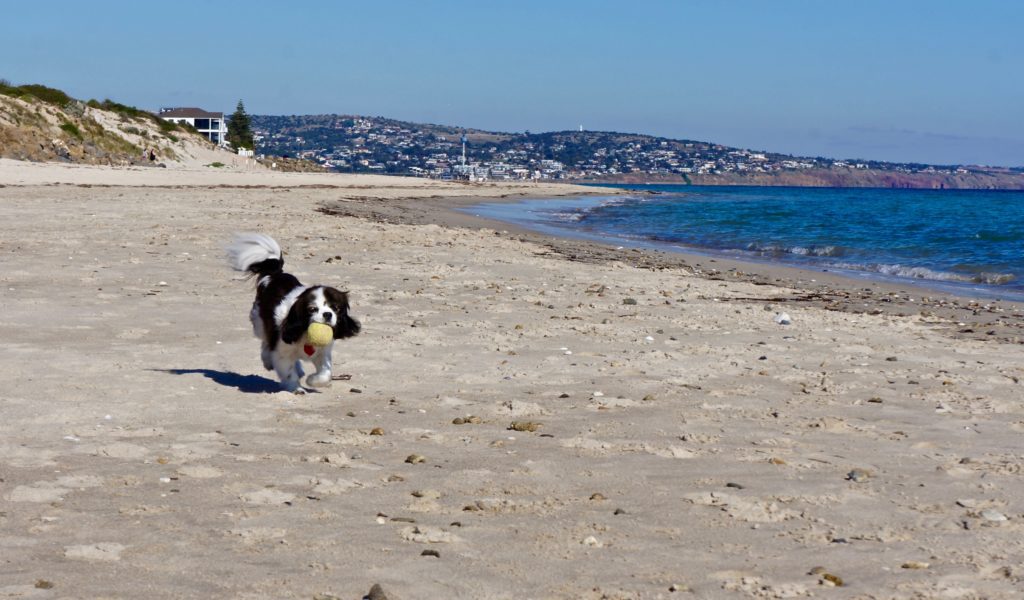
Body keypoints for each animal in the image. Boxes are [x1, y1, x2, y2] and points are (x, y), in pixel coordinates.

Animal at [227, 233, 360, 393]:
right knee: (265, 341)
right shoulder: (281, 352)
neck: (304, 332)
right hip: (259, 323)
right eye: (312, 309)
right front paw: (296, 389)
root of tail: (274, 275)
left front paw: (312, 380)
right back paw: (268, 361)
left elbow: (325, 373)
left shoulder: (322, 353)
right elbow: (289, 373)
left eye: (336, 308)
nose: (327, 314)